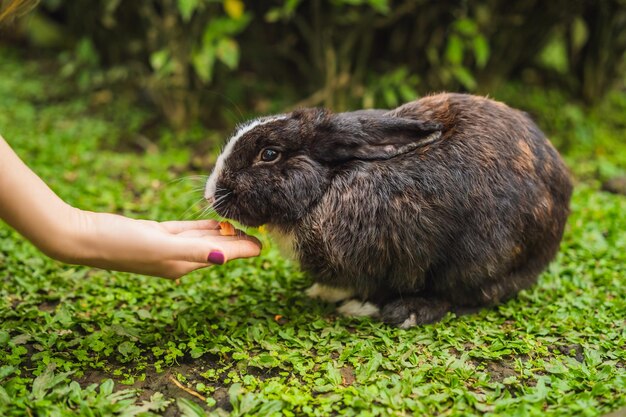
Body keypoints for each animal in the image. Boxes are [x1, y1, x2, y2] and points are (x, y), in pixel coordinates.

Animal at [204, 92, 572, 326]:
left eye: (269, 154)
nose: (211, 194)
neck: (325, 188)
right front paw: (320, 291)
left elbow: (379, 287)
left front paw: (356, 305)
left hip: (478, 260)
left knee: (467, 296)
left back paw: (407, 312)